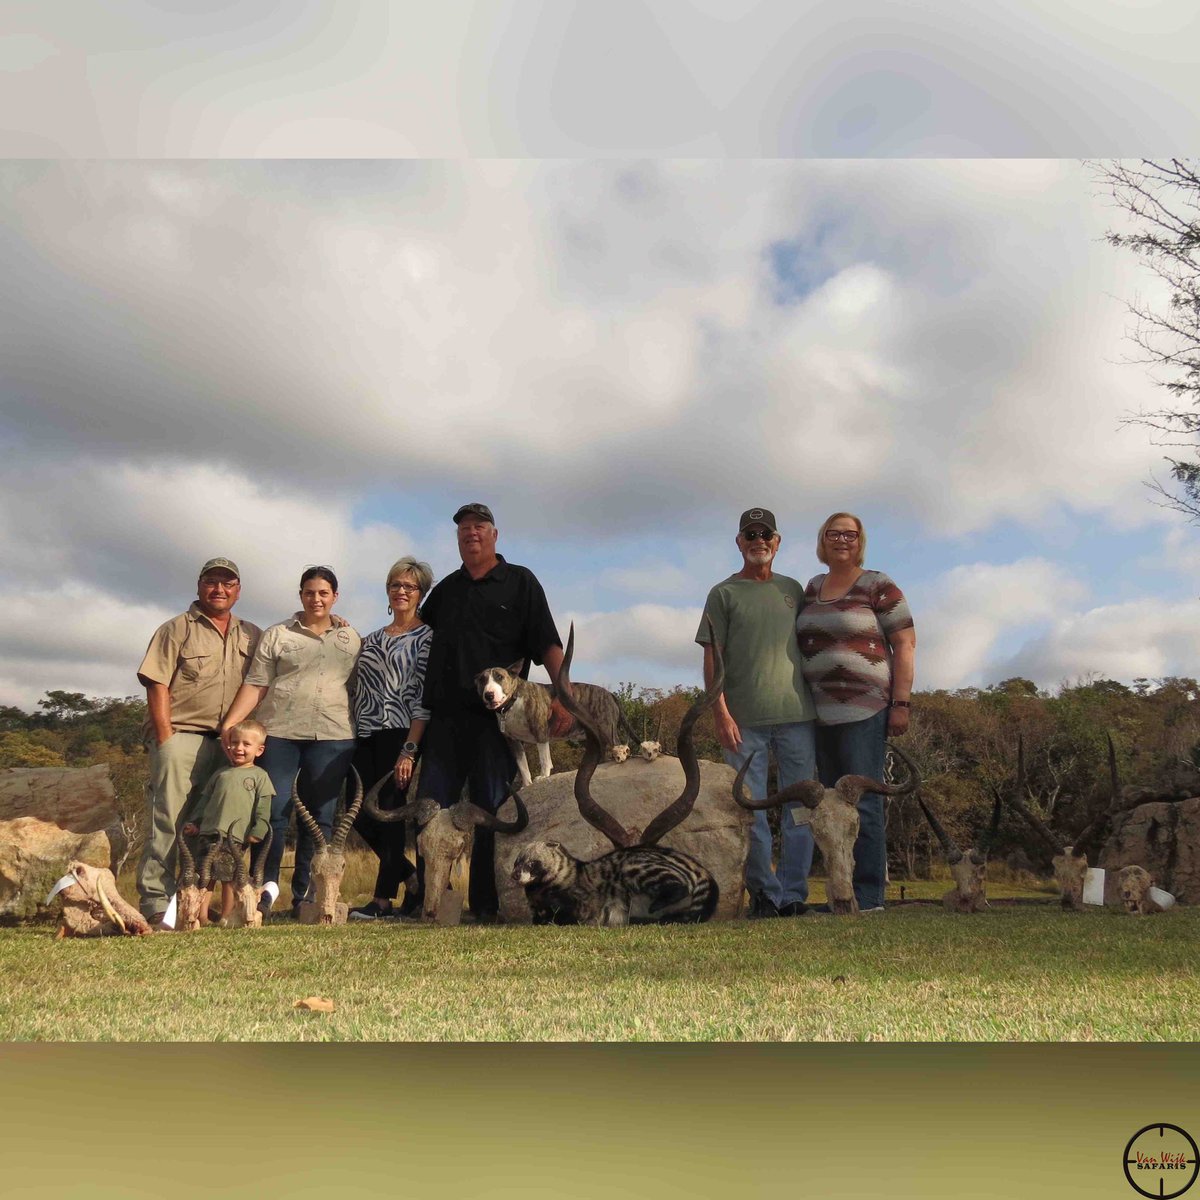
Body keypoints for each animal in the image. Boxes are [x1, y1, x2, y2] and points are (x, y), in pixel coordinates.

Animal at [475, 662, 638, 782]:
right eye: (482, 680)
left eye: (499, 677)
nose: (489, 695)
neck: (513, 701)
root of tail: (610, 694)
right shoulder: (514, 742)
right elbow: (523, 767)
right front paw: (527, 785)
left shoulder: (540, 732)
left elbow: (544, 759)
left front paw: (543, 776)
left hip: (606, 729)